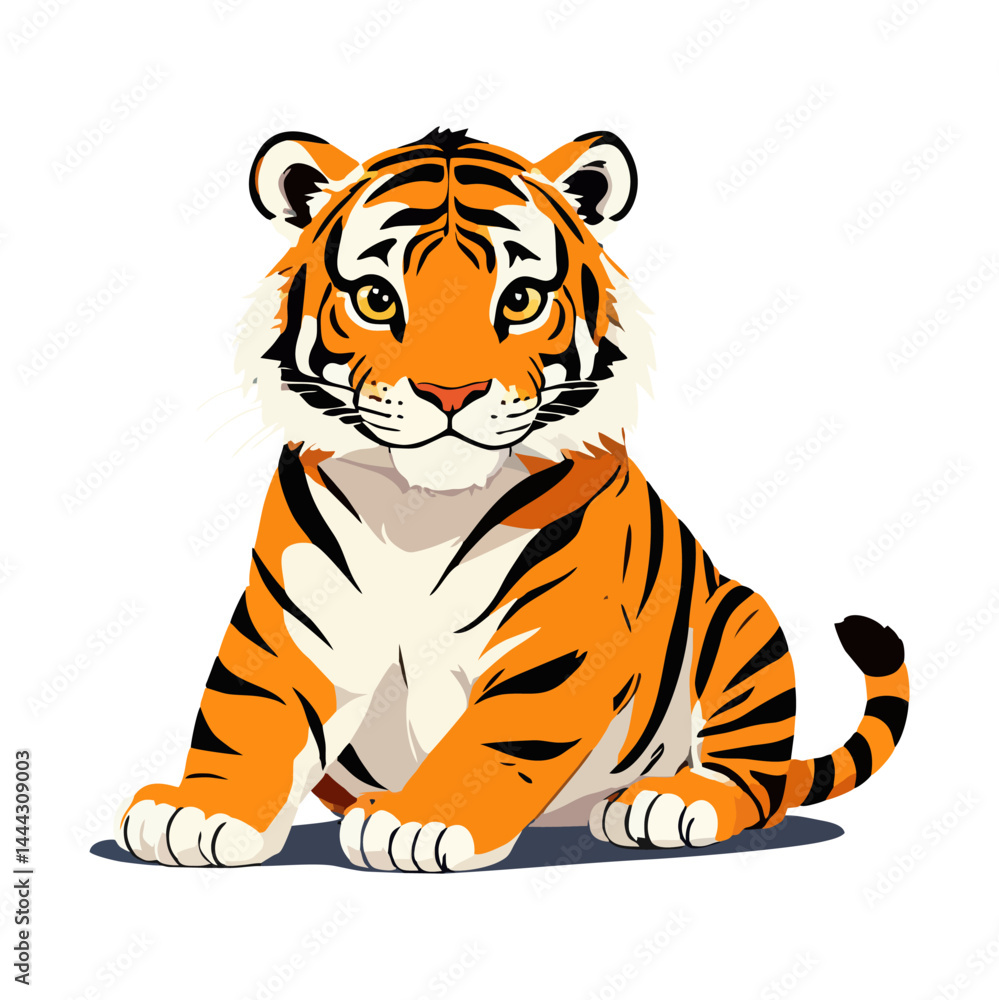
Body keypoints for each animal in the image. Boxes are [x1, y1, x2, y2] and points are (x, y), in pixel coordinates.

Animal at [114, 127, 909, 871]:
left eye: (519, 300)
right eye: (377, 299)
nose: (450, 392)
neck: (418, 517)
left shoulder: (562, 635)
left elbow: (494, 740)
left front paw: (422, 822)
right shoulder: (291, 620)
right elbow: (249, 716)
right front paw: (199, 813)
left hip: (739, 618)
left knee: (757, 784)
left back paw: (667, 803)